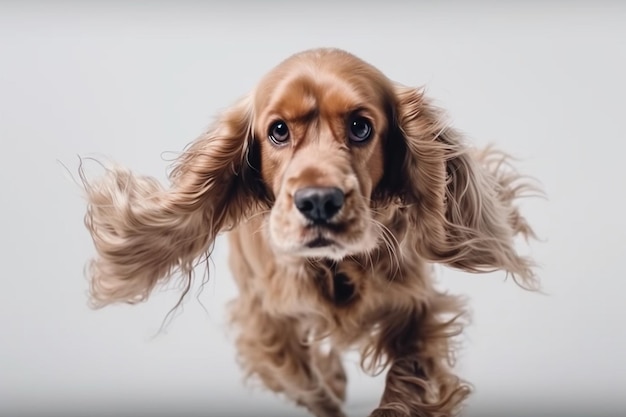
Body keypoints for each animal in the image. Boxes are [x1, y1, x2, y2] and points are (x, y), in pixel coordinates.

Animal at [81, 48, 536, 416]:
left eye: (360, 127)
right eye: (279, 130)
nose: (319, 201)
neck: (334, 268)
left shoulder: (416, 304)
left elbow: (410, 376)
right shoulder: (265, 320)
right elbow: (303, 381)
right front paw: (327, 396)